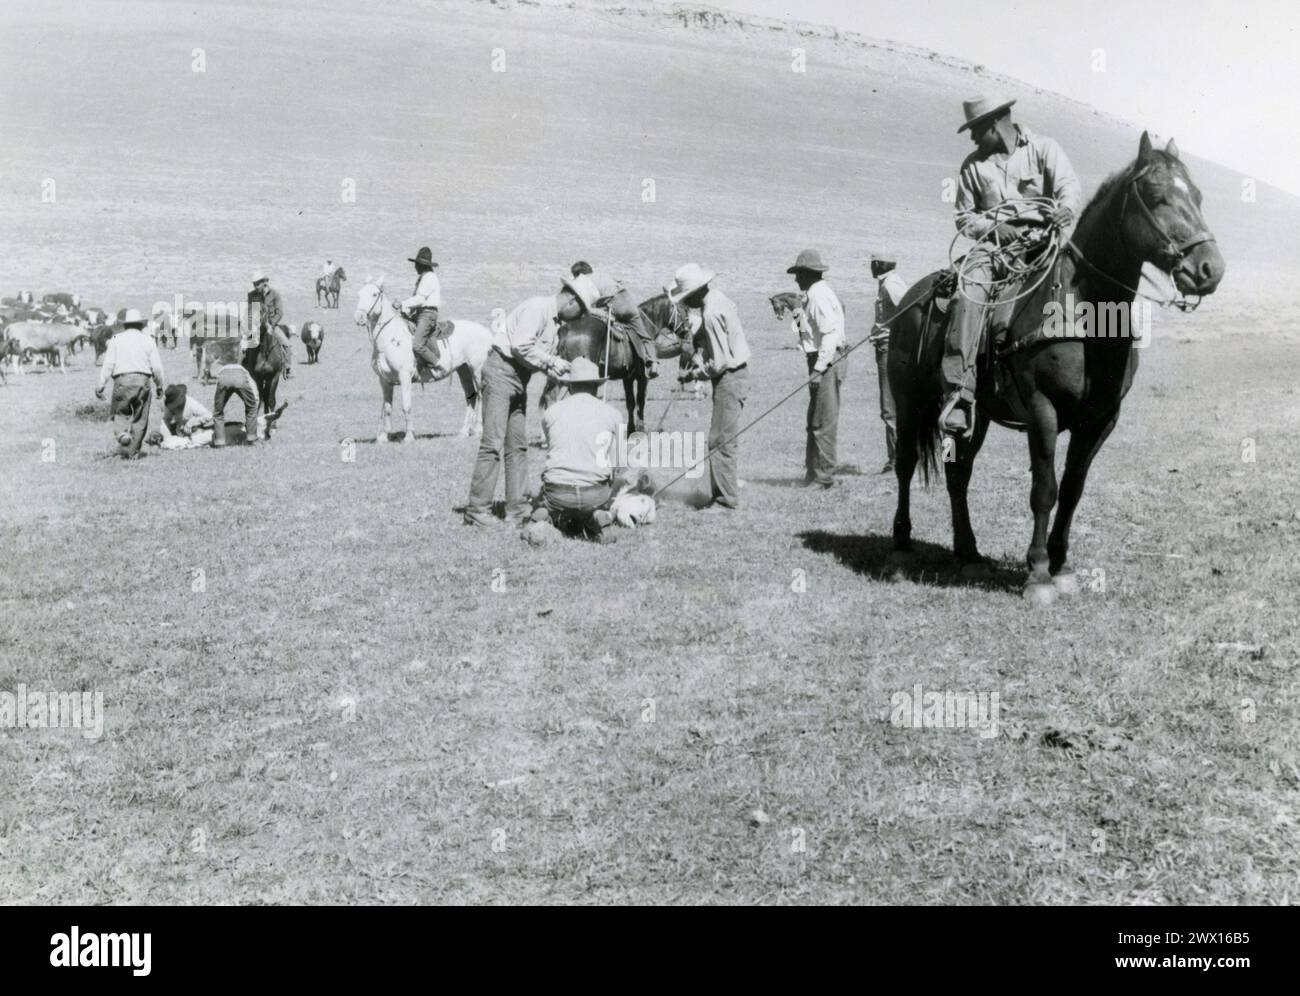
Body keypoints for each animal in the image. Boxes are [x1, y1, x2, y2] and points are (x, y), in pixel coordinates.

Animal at [356, 275, 491, 442]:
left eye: (374, 294)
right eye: (359, 294)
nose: (359, 317)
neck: (390, 339)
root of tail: (487, 332)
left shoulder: (404, 377)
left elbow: (406, 406)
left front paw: (409, 436)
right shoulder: (384, 380)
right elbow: (387, 408)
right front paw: (383, 437)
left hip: (477, 370)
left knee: (481, 396)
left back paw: (478, 430)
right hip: (463, 370)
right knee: (471, 397)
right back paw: (464, 431)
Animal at [889, 135, 1222, 603]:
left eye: (1198, 195)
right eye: (1158, 198)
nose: (1210, 268)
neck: (1084, 313)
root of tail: (908, 300)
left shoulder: (1101, 419)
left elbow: (1072, 489)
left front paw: (1061, 566)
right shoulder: (1041, 410)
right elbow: (1044, 490)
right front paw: (1038, 574)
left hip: (975, 415)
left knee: (959, 474)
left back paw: (968, 554)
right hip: (908, 400)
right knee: (904, 464)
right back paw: (901, 545)